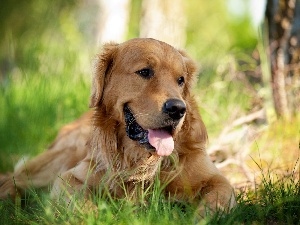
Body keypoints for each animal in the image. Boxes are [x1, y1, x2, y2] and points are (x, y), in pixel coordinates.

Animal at [0, 37, 234, 214]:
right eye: (145, 72)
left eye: (180, 80)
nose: (178, 109)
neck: (142, 160)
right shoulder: (70, 177)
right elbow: (82, 203)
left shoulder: (216, 179)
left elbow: (217, 200)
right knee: (13, 179)